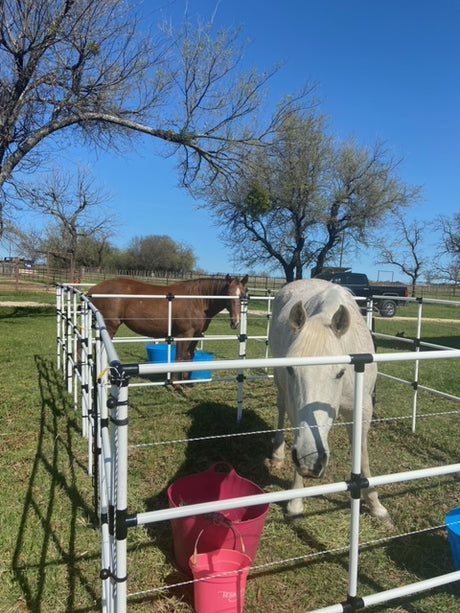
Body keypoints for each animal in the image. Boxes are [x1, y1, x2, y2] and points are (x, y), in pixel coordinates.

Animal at [85, 274, 248, 376]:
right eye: (228, 294)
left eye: (242, 295)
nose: (235, 321)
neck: (198, 300)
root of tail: (93, 290)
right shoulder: (184, 335)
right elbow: (180, 358)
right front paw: (176, 386)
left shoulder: (196, 335)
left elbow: (189, 357)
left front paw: (187, 384)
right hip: (109, 327)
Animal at [270, 280, 392, 524]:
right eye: (291, 369)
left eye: (340, 372)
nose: (311, 461)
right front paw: (295, 504)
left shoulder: (363, 410)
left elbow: (362, 454)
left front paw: (376, 506)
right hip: (282, 391)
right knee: (281, 409)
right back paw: (277, 455)